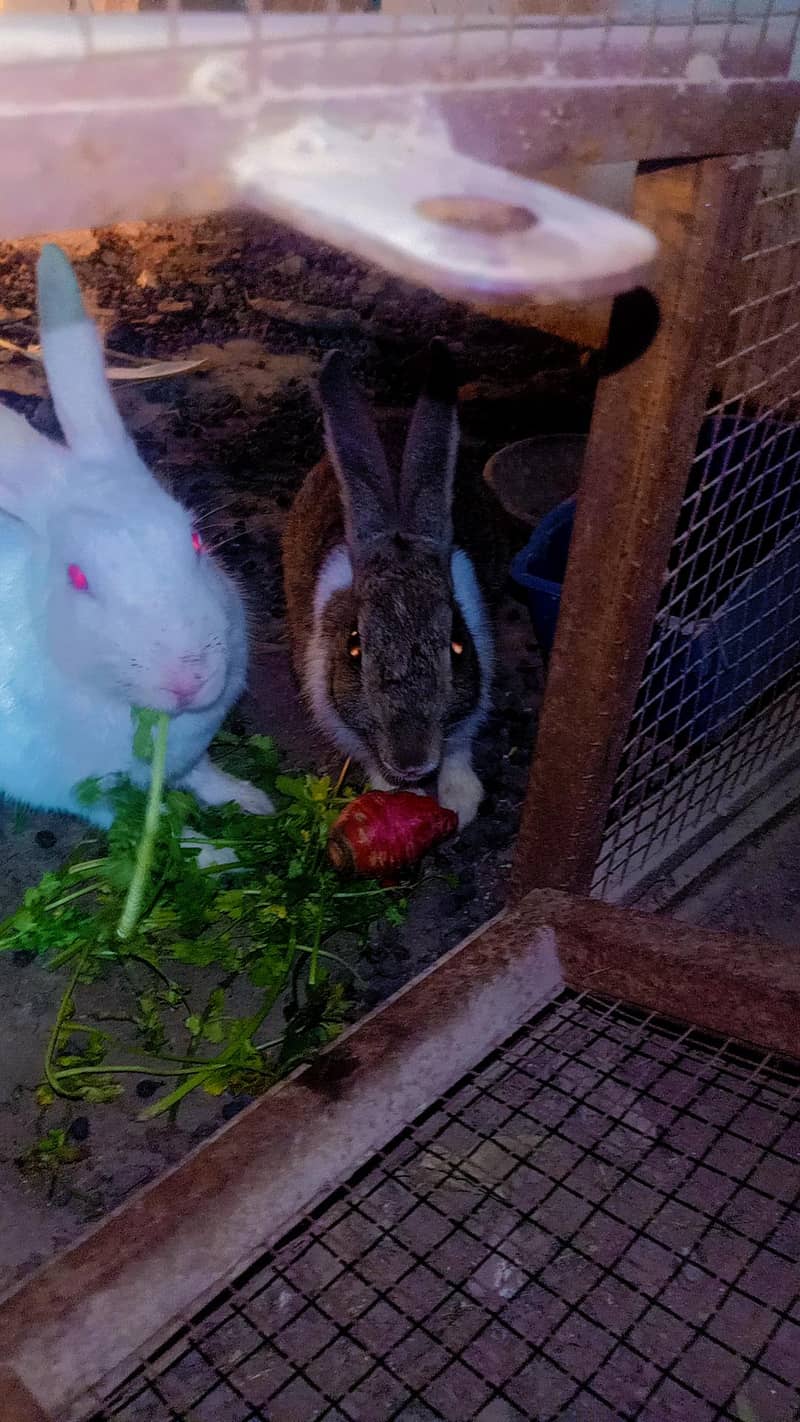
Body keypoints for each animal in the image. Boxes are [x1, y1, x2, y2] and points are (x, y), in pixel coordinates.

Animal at [0, 244, 273, 831]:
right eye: (78, 578)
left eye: (195, 542)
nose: (189, 678)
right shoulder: (89, 798)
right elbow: (156, 826)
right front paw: (217, 848)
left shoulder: (192, 753)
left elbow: (204, 774)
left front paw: (251, 800)